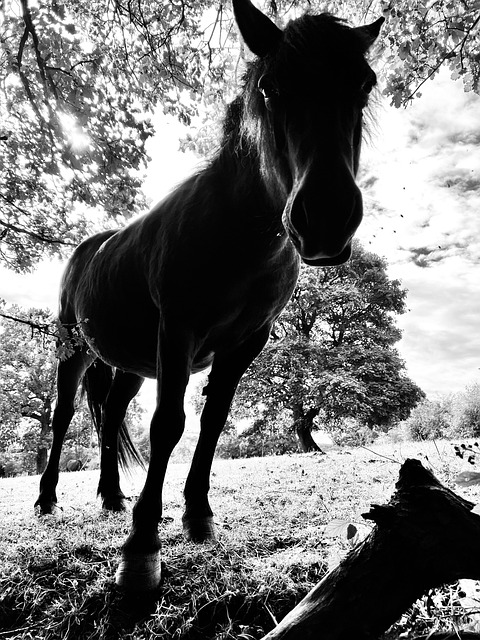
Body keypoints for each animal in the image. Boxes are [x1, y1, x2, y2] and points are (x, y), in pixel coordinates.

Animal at [35, 0, 383, 591]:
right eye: (270, 86)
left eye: (364, 83)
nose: (327, 217)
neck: (239, 232)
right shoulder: (179, 330)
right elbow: (167, 425)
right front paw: (142, 543)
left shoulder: (245, 342)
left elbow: (213, 421)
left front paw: (197, 513)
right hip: (74, 350)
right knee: (61, 421)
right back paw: (46, 499)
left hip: (131, 363)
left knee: (111, 414)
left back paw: (110, 496)